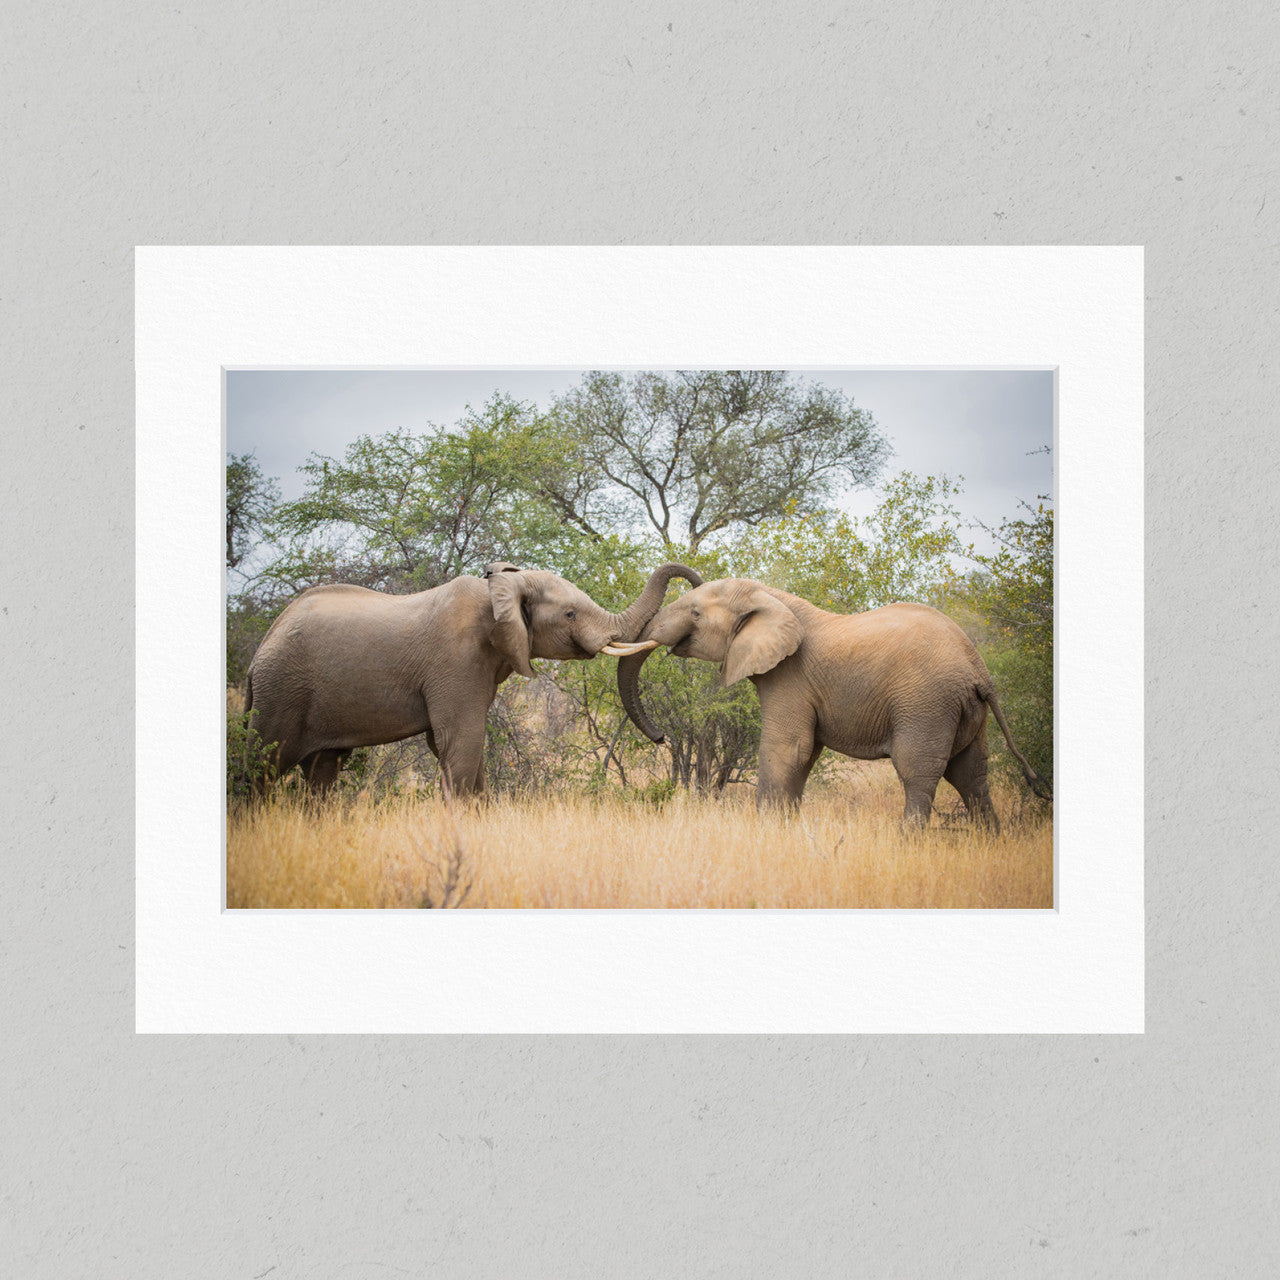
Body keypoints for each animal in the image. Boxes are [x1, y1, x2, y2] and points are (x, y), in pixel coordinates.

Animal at [245, 561, 701, 796]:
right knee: (262, 765)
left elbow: (460, 745)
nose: (662, 737)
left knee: (323, 771)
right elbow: (459, 740)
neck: (500, 589)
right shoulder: (455, 660)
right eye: (570, 614)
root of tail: (259, 650)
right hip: (281, 693)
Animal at [616, 578, 1050, 829]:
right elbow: (804, 756)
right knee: (971, 777)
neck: (773, 598)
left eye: (695, 612)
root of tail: (980, 671)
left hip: (928, 704)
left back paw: (907, 843)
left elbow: (787, 749)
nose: (662, 737)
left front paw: (766, 834)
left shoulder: (789, 676)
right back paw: (989, 840)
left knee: (918, 774)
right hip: (966, 712)